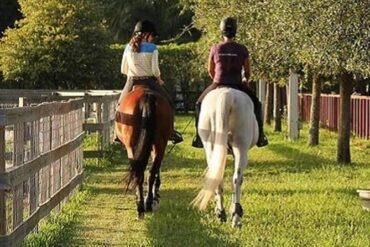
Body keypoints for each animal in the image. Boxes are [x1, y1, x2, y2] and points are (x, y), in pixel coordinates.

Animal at [115, 85, 173, 218]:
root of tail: (146, 96)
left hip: (131, 147)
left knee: (138, 172)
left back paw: (140, 206)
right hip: (160, 144)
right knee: (151, 172)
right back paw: (148, 203)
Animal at [192, 87, 258, 228]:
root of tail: (227, 94)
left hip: (211, 147)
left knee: (218, 178)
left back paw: (221, 213)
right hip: (241, 147)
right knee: (237, 179)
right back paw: (236, 217)